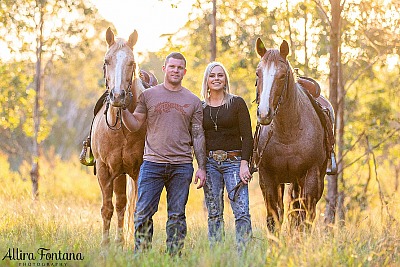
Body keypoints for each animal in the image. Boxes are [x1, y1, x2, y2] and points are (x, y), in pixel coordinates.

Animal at [90, 27, 147, 247]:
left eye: (131, 62)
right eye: (107, 61)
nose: (117, 96)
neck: (121, 130)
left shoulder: (139, 170)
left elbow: (138, 208)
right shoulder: (105, 170)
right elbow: (107, 209)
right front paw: (105, 246)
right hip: (119, 173)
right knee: (121, 204)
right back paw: (118, 241)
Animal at [256, 38, 328, 232]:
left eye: (282, 75)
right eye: (258, 73)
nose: (264, 113)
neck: (287, 133)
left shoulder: (311, 177)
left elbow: (303, 219)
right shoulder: (268, 177)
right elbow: (273, 218)